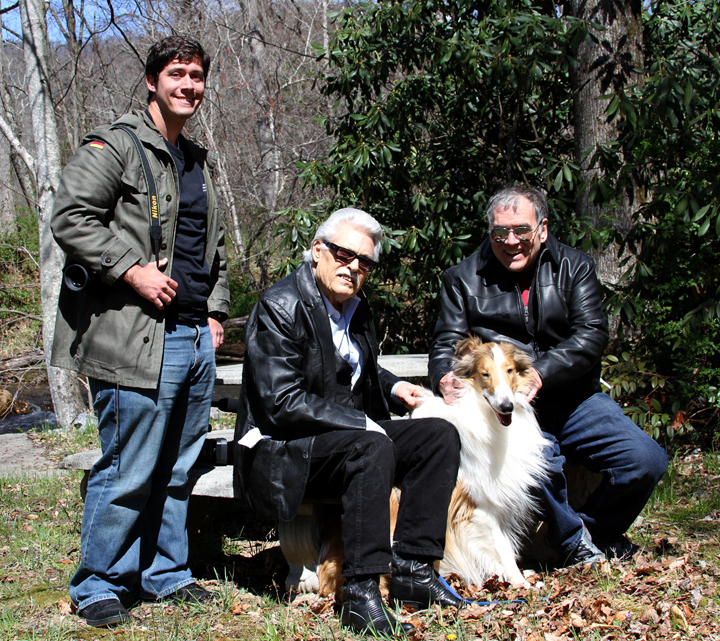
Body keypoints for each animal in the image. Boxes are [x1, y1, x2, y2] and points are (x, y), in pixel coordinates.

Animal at [410, 338, 552, 588]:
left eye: (510, 370)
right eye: (485, 374)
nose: (507, 407)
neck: (488, 421)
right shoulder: (479, 503)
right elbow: (502, 547)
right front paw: (519, 583)